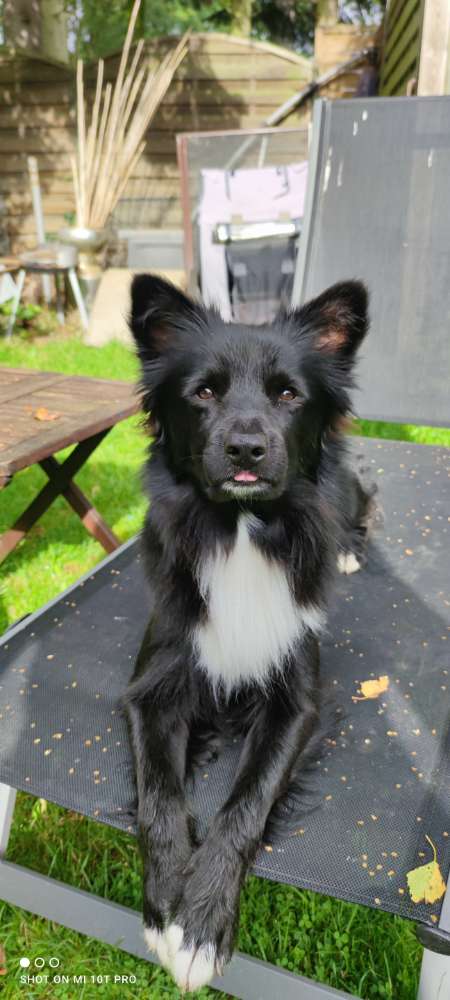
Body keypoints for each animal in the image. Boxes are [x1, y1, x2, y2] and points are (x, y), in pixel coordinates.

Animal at [124, 276, 372, 992]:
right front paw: (166, 906)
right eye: (203, 393)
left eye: (288, 394)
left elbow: (245, 803)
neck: (238, 529)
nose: (244, 449)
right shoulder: (149, 689)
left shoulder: (297, 701)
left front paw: (202, 924)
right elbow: (158, 797)